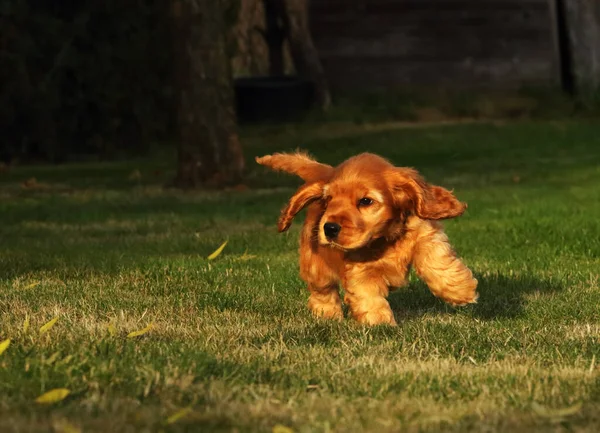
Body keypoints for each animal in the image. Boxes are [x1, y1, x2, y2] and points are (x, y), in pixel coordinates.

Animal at [254, 152, 478, 324]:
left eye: (365, 201)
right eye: (329, 200)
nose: (329, 228)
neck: (383, 238)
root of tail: (327, 171)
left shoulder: (426, 234)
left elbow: (437, 261)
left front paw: (460, 290)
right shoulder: (359, 271)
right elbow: (368, 296)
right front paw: (379, 325)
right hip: (315, 266)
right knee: (322, 290)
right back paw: (327, 315)